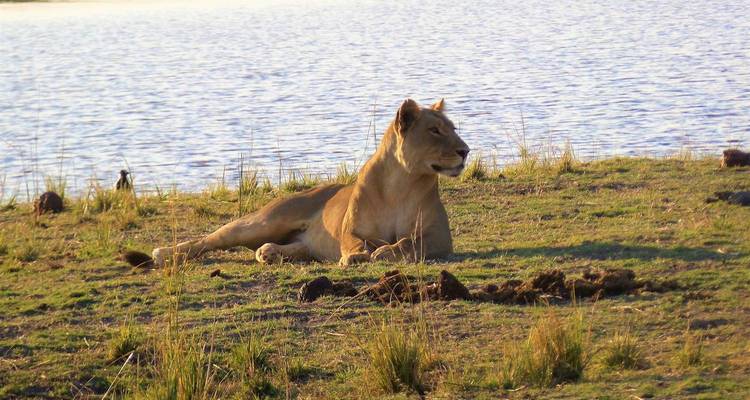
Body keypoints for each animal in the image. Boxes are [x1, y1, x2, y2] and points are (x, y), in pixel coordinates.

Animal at [150, 98, 469, 267]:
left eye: (453, 128)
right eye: (435, 130)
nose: (465, 151)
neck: (401, 183)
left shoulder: (439, 237)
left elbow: (409, 243)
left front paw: (384, 252)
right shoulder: (351, 229)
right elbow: (355, 242)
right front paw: (357, 256)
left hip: (294, 239)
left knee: (294, 247)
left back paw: (268, 253)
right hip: (263, 221)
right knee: (209, 239)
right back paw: (164, 253)